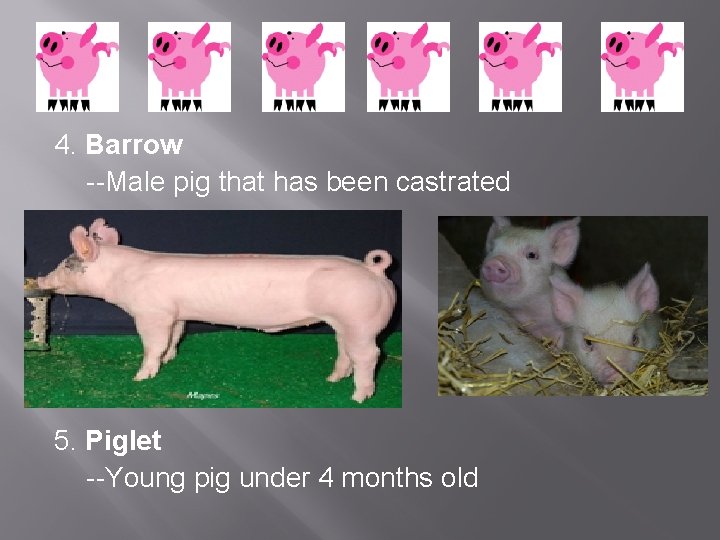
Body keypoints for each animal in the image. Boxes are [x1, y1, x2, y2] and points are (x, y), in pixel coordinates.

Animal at [37, 219, 396, 403]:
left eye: (67, 263)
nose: (40, 279)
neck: (122, 277)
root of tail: (374, 271)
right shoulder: (176, 313)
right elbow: (175, 337)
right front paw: (170, 359)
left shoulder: (152, 312)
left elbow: (153, 344)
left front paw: (141, 377)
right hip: (344, 323)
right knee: (345, 351)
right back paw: (333, 379)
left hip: (360, 321)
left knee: (370, 355)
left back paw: (358, 396)